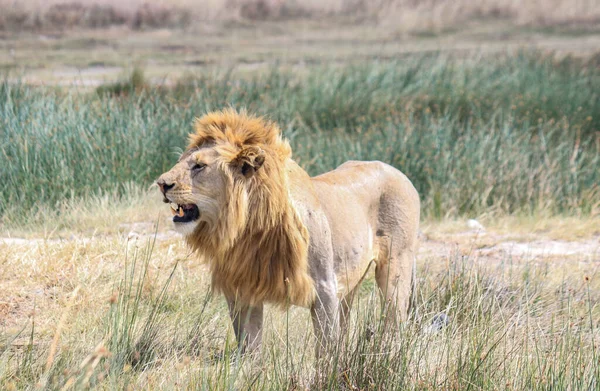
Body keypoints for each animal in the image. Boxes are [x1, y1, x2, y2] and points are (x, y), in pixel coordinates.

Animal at [159, 109, 422, 356]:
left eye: (199, 166)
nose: (161, 184)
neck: (247, 227)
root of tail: (398, 172)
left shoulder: (325, 288)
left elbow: (326, 350)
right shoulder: (243, 287)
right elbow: (249, 347)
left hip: (395, 269)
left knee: (394, 322)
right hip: (350, 278)